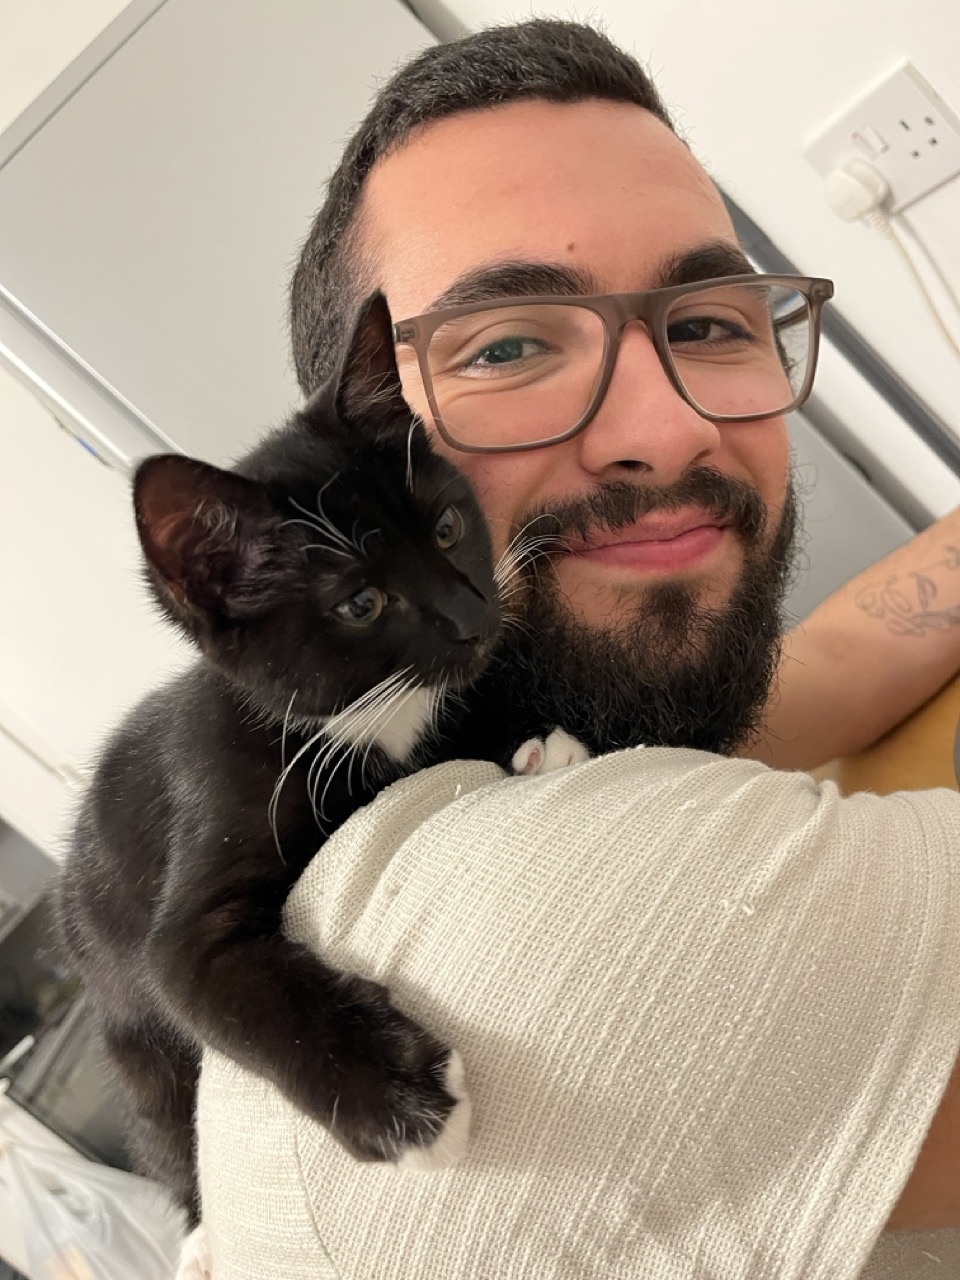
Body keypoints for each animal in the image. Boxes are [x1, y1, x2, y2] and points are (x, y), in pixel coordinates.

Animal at [56, 293, 563, 1218]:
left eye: (447, 527)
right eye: (362, 603)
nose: (475, 621)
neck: (352, 724)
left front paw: (533, 747)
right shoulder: (202, 848)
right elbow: (228, 983)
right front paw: (404, 1101)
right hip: (136, 1040)